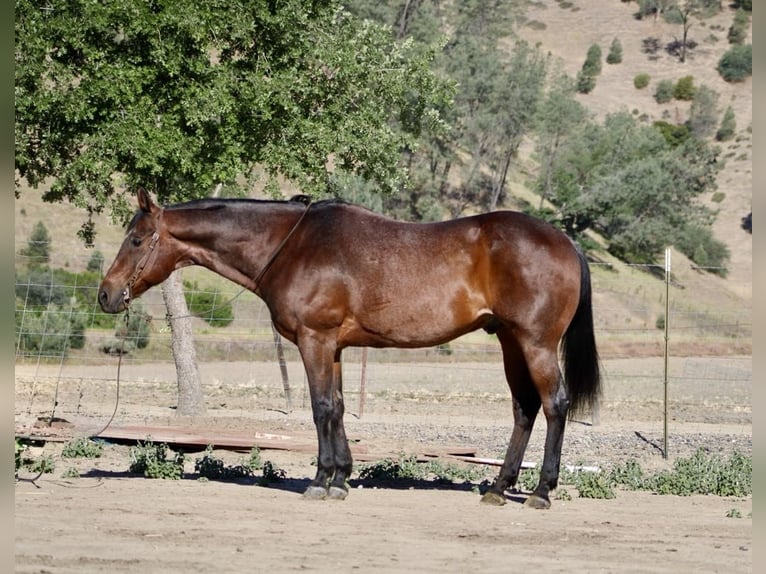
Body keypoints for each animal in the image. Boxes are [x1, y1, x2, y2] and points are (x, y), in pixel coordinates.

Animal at [98, 188, 600, 509]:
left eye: (137, 239)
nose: (105, 294)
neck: (293, 245)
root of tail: (564, 241)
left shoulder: (314, 340)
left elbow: (321, 407)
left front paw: (321, 480)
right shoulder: (334, 346)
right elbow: (337, 407)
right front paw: (341, 478)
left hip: (535, 343)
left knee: (554, 405)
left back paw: (541, 492)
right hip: (511, 342)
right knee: (524, 408)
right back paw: (498, 488)